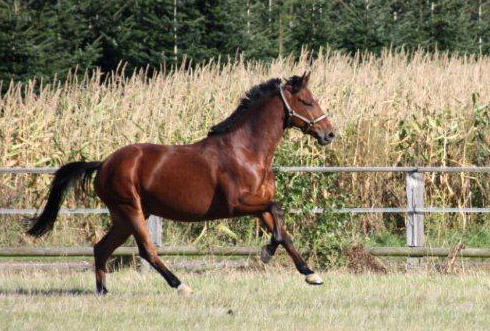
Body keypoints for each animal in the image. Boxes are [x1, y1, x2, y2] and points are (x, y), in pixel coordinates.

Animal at [25, 72, 334, 296]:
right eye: (307, 101)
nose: (329, 133)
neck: (246, 151)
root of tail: (103, 163)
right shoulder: (239, 204)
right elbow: (279, 211)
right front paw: (266, 253)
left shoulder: (258, 206)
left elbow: (284, 232)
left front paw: (311, 274)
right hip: (130, 211)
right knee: (146, 251)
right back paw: (181, 285)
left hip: (125, 216)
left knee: (101, 248)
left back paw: (103, 292)